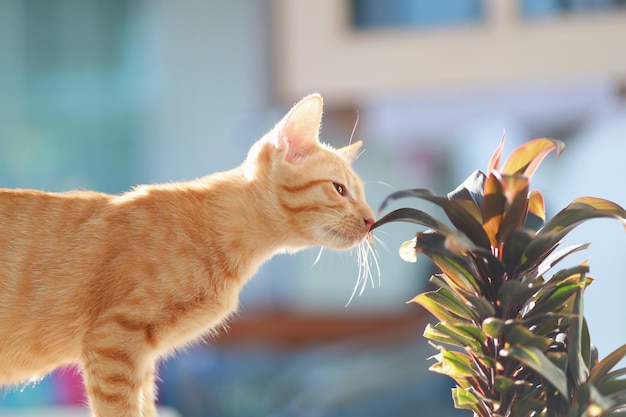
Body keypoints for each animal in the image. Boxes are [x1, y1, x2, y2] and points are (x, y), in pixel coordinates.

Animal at [0, 94, 372, 416]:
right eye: (340, 189)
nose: (371, 221)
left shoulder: (141, 360)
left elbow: (146, 408)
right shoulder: (113, 340)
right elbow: (121, 410)